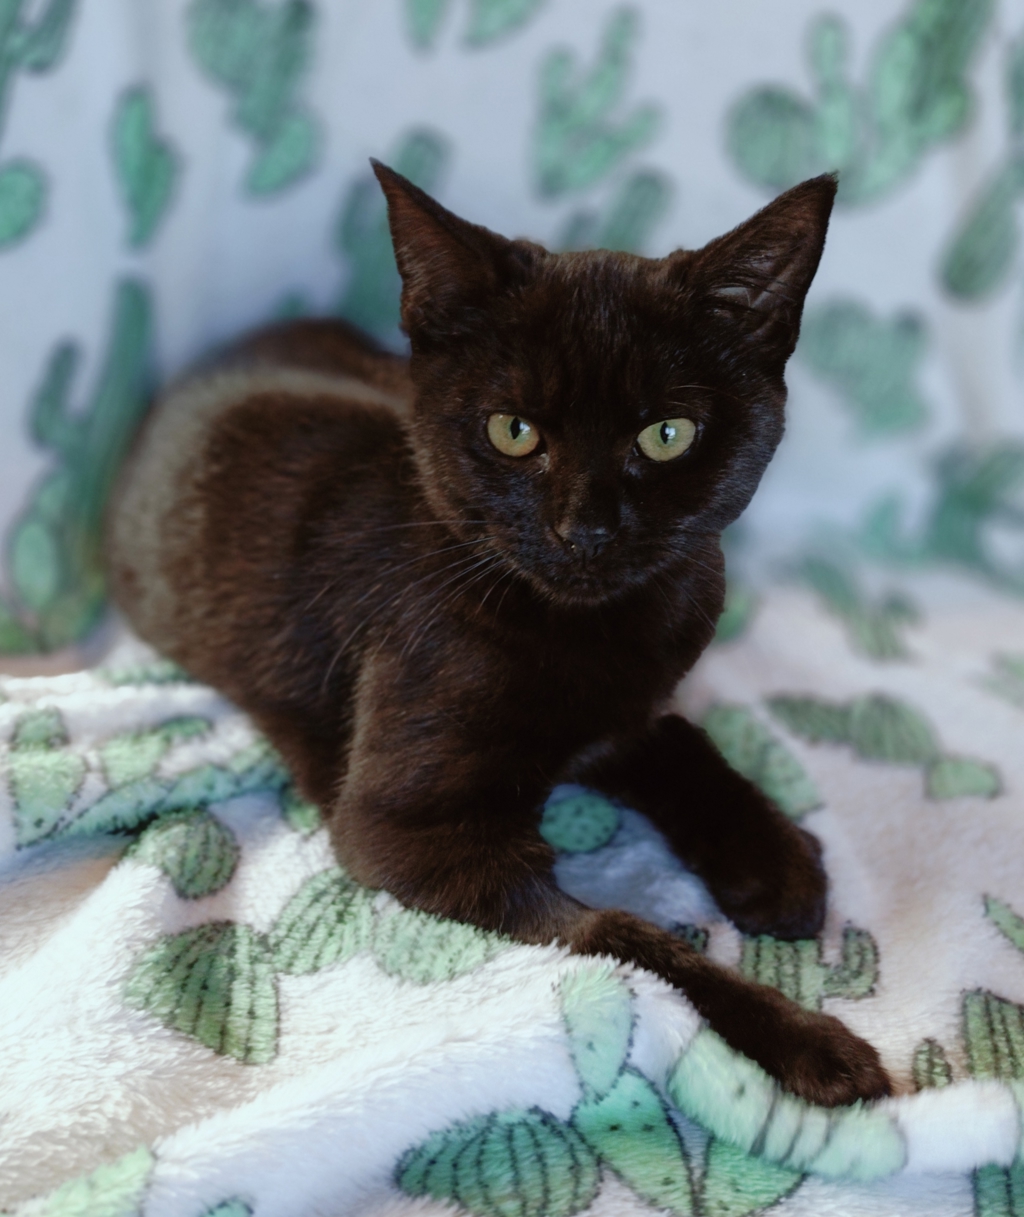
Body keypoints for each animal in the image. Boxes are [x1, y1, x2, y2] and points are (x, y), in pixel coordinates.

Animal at [108, 161, 890, 1106]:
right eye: (513, 431)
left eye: (667, 435)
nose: (586, 528)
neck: (591, 631)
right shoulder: (408, 832)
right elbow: (627, 937)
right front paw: (808, 1041)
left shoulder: (632, 709)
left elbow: (688, 747)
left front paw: (779, 863)